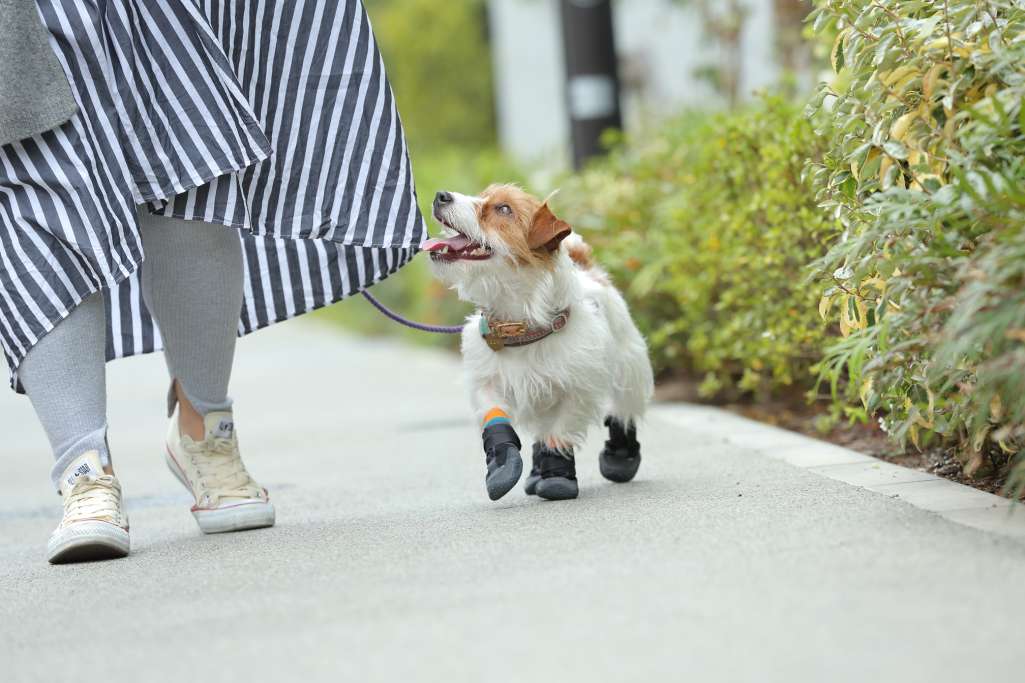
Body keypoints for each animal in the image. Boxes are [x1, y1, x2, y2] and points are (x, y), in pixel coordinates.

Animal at [426, 183, 656, 498]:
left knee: (622, 412)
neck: (520, 327)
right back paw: (535, 474)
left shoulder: (578, 390)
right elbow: (495, 417)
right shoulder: (487, 381)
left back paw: (619, 457)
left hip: (629, 372)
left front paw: (557, 476)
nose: (440, 196)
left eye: (504, 209)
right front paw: (502, 464)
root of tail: (591, 271)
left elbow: (559, 432)